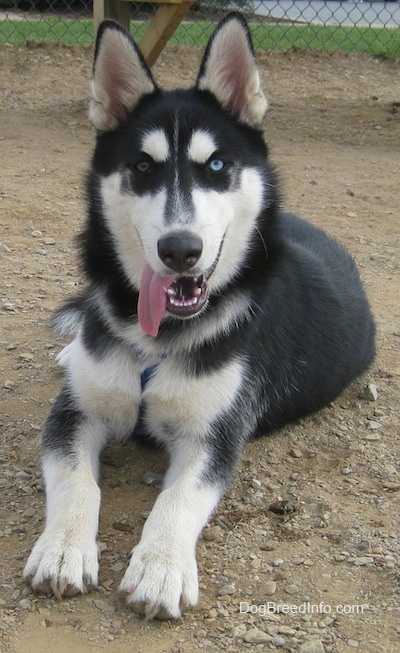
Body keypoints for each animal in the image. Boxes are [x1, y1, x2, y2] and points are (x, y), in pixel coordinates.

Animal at [24, 14, 376, 616]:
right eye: (142, 166)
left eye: (216, 165)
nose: (180, 250)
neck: (160, 338)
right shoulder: (75, 413)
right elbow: (75, 480)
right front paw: (63, 549)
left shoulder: (214, 435)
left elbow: (178, 496)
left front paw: (161, 567)